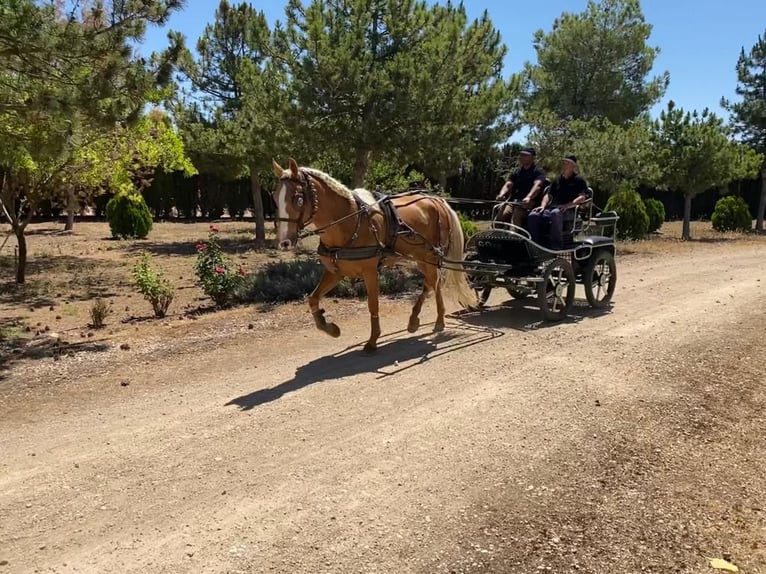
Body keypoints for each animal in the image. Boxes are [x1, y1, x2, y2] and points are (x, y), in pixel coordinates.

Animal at [270, 157, 477, 353]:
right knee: (431, 284)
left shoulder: (370, 271)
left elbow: (373, 305)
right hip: (420, 256)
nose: (284, 242)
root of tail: (436, 200)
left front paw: (372, 340)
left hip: (431, 255)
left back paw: (434, 320)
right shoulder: (335, 272)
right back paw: (419, 319)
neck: (351, 221)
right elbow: (313, 298)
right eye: (274, 197)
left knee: (433, 283)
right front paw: (330, 328)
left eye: (297, 198)